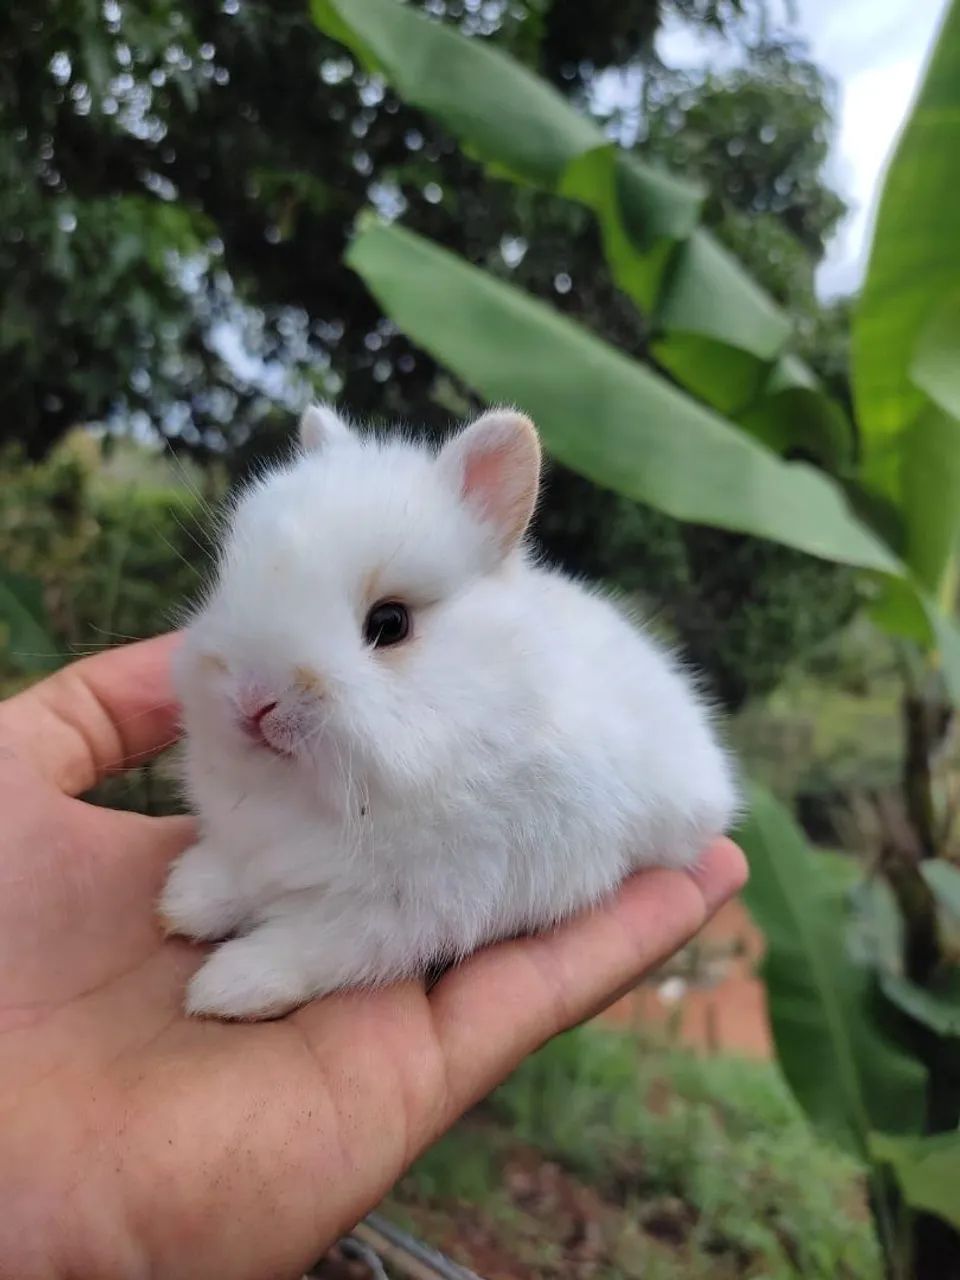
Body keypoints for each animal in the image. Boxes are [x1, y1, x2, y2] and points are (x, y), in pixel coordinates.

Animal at [159, 403, 738, 1020]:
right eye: (228, 584)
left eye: (390, 624)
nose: (254, 700)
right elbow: (241, 876)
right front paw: (186, 897)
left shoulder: (413, 907)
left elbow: (318, 944)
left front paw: (228, 987)